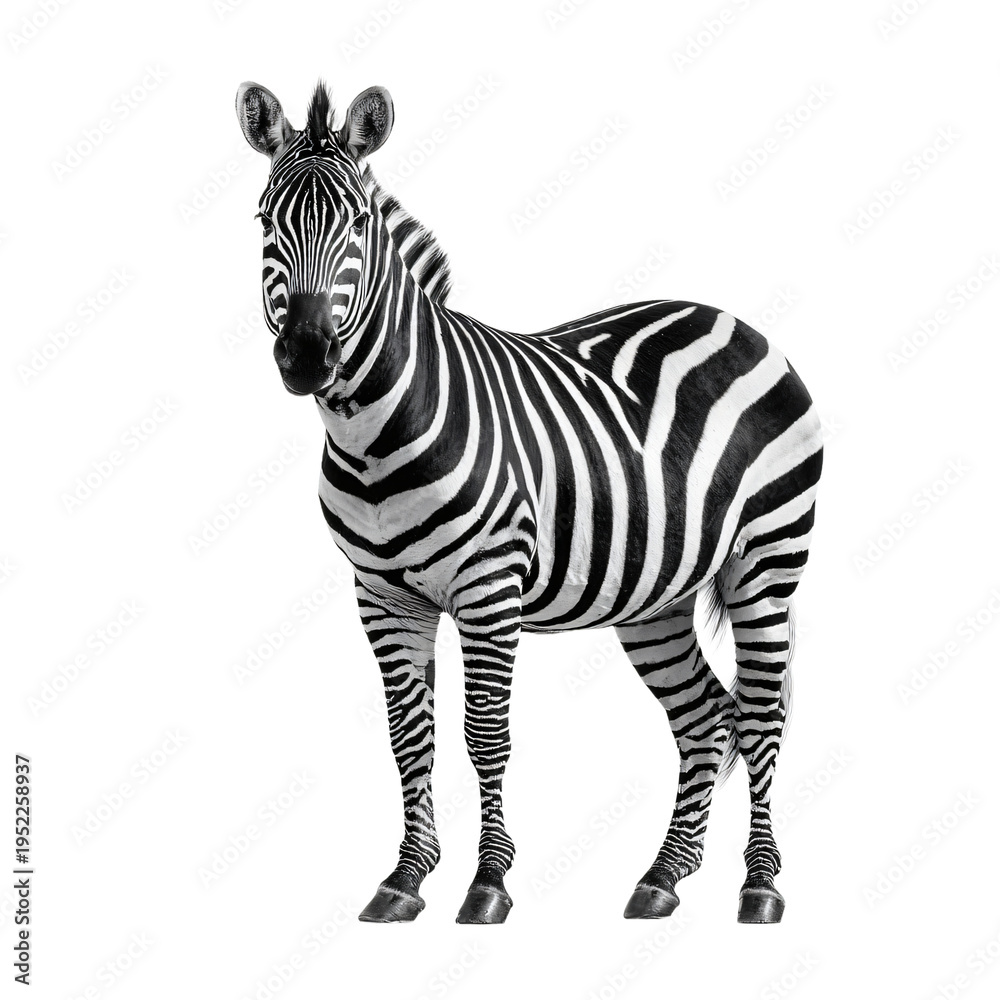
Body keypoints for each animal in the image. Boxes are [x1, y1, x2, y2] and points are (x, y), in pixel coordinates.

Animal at [235, 80, 823, 925]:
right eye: (264, 220)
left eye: (360, 223)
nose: (307, 356)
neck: (373, 434)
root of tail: (730, 318)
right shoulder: (382, 595)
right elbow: (409, 736)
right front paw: (405, 878)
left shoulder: (489, 587)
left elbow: (486, 734)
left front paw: (488, 882)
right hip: (658, 596)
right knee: (706, 716)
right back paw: (664, 876)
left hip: (766, 563)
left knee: (764, 713)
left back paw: (761, 887)